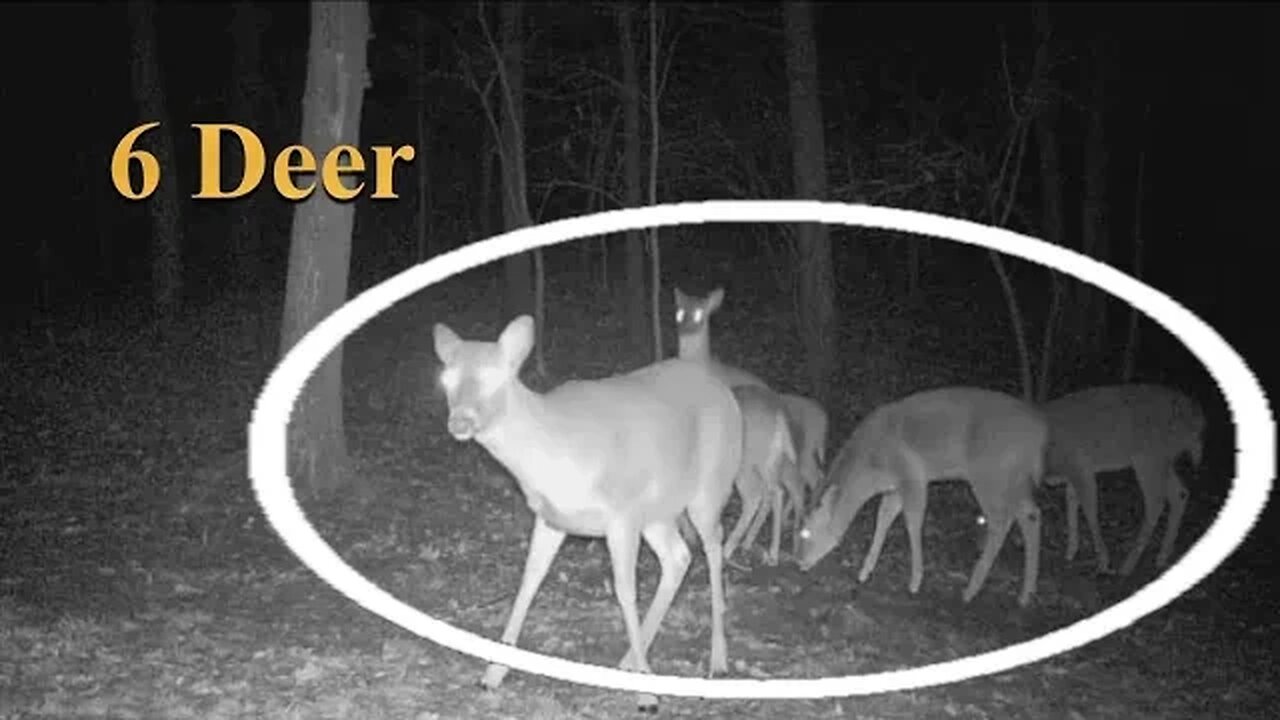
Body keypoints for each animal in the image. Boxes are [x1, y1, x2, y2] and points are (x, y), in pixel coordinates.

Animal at [670, 286, 829, 556]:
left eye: (702, 313)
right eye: (679, 312)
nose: (685, 327)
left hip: (769, 459)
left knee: (779, 489)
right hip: (771, 460)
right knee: (778, 490)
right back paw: (765, 545)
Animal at [798, 386, 1049, 604]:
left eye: (806, 532)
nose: (799, 562)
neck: (871, 469)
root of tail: (1039, 434)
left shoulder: (912, 475)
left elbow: (913, 521)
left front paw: (915, 582)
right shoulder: (895, 486)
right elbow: (883, 516)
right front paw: (864, 571)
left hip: (991, 474)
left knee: (1001, 521)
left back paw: (970, 590)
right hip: (1016, 478)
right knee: (1031, 514)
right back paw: (1026, 593)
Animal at [1039, 384, 1208, 573]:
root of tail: (1198, 419)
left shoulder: (1080, 467)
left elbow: (1090, 511)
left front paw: (1103, 561)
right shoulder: (1073, 472)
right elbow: (1071, 503)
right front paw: (1071, 551)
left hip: (1148, 458)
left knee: (1156, 502)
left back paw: (1128, 565)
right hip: (1164, 459)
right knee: (1180, 493)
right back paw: (1162, 557)